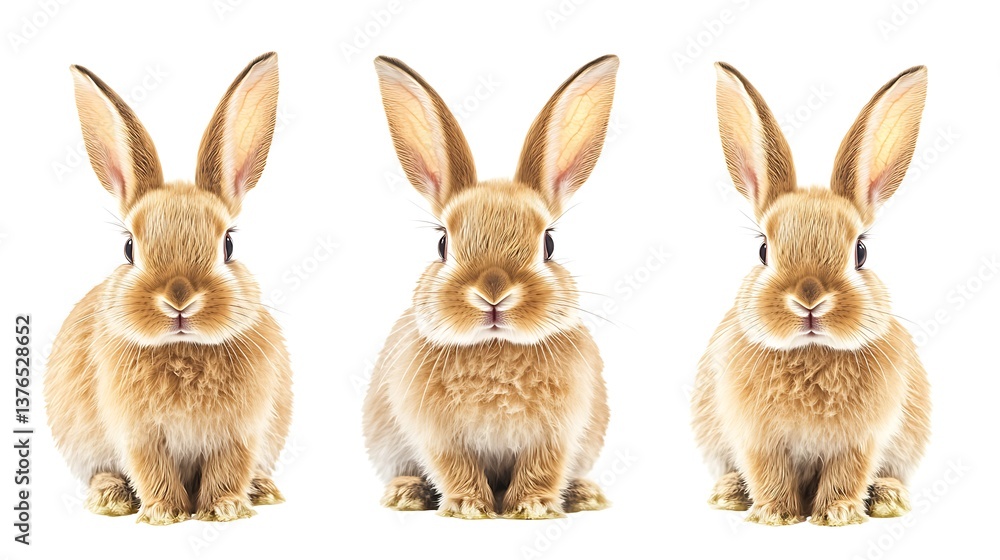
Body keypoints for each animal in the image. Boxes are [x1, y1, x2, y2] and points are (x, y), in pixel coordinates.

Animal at [44, 53, 292, 525]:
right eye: (128, 248)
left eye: (229, 245)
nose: (179, 300)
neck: (184, 350)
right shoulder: (138, 433)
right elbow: (151, 469)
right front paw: (166, 513)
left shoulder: (239, 432)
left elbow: (228, 468)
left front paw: (223, 509)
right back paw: (111, 497)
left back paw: (263, 489)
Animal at [362, 55, 619, 519]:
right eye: (442, 244)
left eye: (549, 244)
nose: (493, 293)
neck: (496, 345)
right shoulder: (438, 435)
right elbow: (455, 467)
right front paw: (469, 506)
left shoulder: (556, 434)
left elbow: (542, 467)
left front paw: (531, 507)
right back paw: (407, 494)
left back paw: (583, 494)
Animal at [691, 63, 932, 526]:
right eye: (763, 250)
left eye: (861, 251)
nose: (809, 300)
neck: (811, 351)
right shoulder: (757, 438)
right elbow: (768, 473)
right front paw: (775, 515)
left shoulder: (859, 441)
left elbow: (846, 475)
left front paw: (837, 515)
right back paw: (729, 493)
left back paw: (887, 499)